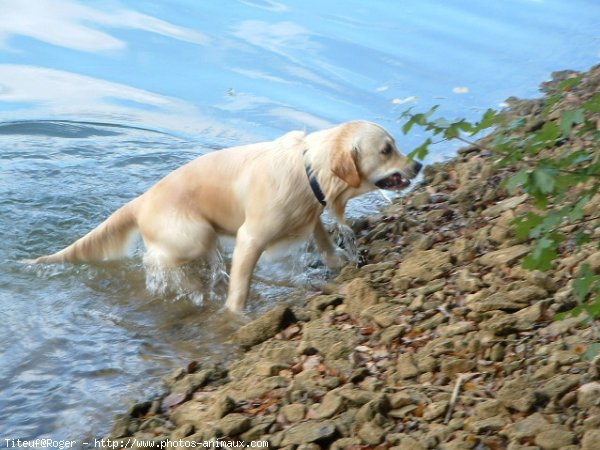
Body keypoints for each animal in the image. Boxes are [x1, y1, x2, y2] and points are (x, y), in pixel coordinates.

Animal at [29, 123, 422, 312]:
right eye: (386, 149)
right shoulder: (252, 237)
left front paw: (338, 261)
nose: (418, 165)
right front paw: (235, 314)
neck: (309, 168)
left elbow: (323, 238)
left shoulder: (311, 213)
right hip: (195, 234)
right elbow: (241, 286)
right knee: (169, 262)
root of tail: (139, 202)